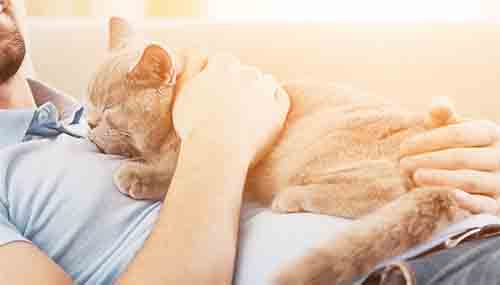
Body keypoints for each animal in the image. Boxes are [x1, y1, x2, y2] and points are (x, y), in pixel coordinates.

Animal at [88, 17, 474, 284]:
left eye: (108, 108)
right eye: (89, 100)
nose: (89, 123)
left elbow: (175, 167)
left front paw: (139, 174)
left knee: (384, 189)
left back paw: (293, 197)